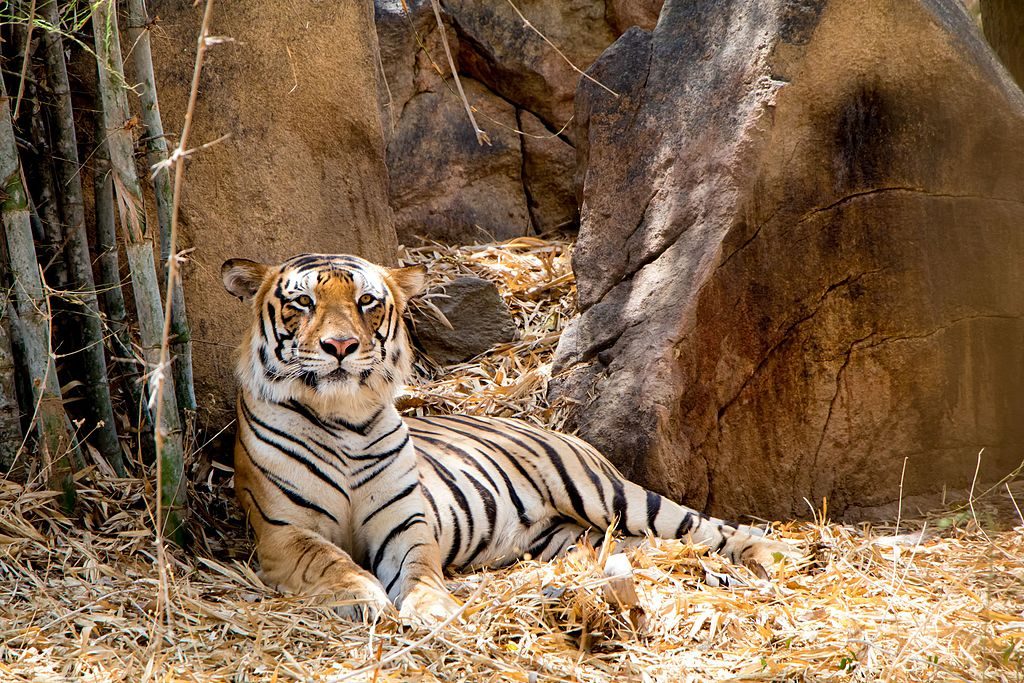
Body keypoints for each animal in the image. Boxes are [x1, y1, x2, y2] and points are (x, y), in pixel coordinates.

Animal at [222, 252, 798, 626]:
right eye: (302, 303)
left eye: (366, 301)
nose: (340, 345)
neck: (343, 417)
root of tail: (550, 428)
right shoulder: (283, 531)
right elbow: (330, 560)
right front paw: (362, 596)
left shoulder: (405, 523)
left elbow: (419, 569)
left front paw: (434, 609)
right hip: (577, 535)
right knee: (660, 543)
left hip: (607, 494)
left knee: (710, 526)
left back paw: (776, 556)